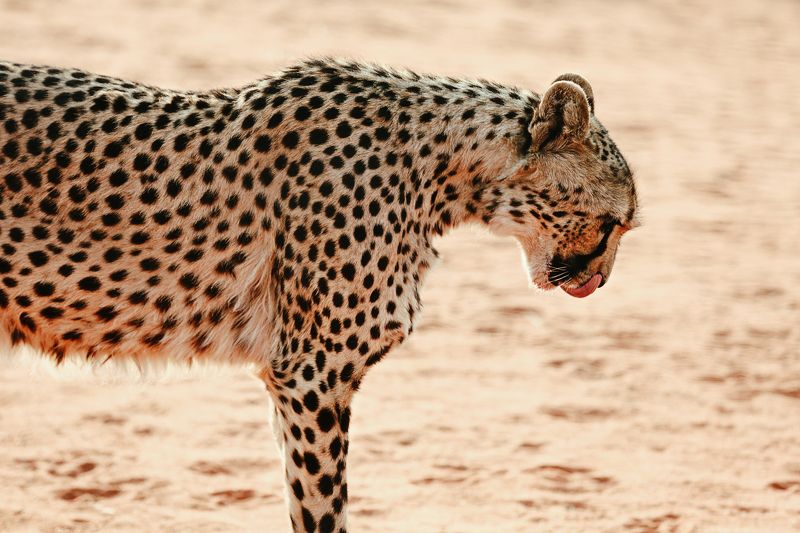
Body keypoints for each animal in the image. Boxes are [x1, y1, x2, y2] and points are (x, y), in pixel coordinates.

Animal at [0, 57, 638, 532]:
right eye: (614, 223)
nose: (599, 282)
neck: (439, 169)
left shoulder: (302, 377)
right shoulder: (311, 373)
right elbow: (321, 507)